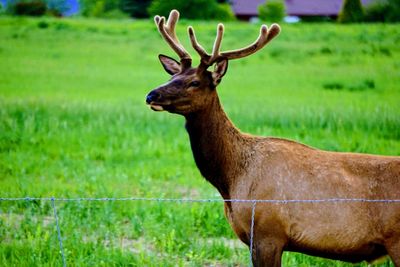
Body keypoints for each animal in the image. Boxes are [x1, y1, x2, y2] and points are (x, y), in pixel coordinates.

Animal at [145, 9, 400, 266]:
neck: (230, 180)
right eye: (171, 77)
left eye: (194, 82)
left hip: (396, 240)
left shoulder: (268, 232)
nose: (151, 95)